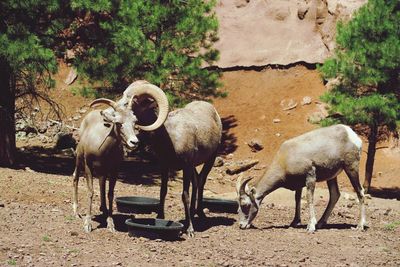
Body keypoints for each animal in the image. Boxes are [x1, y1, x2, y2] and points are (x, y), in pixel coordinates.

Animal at [72, 85, 168, 233]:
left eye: (134, 122)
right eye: (118, 123)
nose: (134, 142)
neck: (103, 149)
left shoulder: (113, 171)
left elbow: (110, 194)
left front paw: (111, 224)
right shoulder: (88, 167)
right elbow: (90, 192)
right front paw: (87, 224)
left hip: (102, 172)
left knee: (101, 185)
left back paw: (104, 210)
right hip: (79, 160)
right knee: (75, 177)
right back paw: (76, 212)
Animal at [117, 80, 223, 238]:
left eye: (132, 100)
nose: (114, 110)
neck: (170, 137)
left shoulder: (186, 167)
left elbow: (184, 195)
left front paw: (190, 229)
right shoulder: (165, 166)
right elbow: (163, 191)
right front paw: (160, 218)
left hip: (210, 159)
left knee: (201, 181)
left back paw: (198, 214)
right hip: (193, 167)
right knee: (196, 182)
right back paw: (192, 214)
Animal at [238, 125, 366, 232]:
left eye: (246, 205)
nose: (241, 225)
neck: (285, 157)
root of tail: (351, 134)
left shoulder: (310, 176)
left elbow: (309, 198)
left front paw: (311, 226)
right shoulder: (299, 184)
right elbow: (297, 199)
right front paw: (295, 222)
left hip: (351, 168)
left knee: (360, 192)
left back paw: (360, 226)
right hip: (332, 176)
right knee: (335, 195)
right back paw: (321, 223)